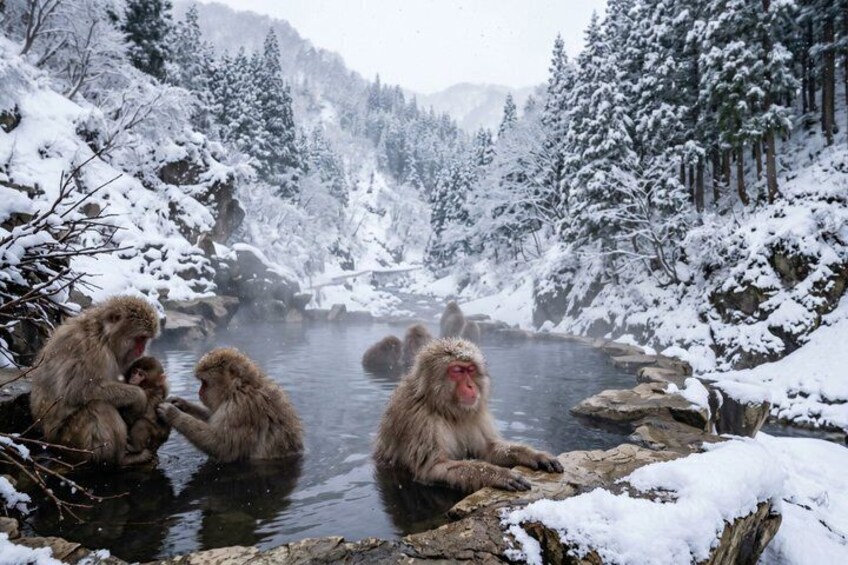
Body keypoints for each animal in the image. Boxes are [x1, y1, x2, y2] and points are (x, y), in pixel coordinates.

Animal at [29, 296, 160, 466]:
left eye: (145, 339)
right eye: (141, 338)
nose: (141, 349)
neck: (103, 335)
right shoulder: (91, 350)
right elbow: (77, 390)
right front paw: (139, 397)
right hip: (70, 440)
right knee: (98, 405)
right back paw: (121, 459)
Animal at [157, 347, 303, 462]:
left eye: (204, 383)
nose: (199, 392)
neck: (239, 387)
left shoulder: (240, 409)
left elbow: (223, 447)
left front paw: (173, 414)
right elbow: (213, 416)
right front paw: (181, 403)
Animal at [374, 338, 563, 493]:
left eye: (470, 370)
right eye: (457, 370)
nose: (471, 386)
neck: (444, 409)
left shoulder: (474, 416)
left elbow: (488, 448)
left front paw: (534, 455)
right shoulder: (419, 421)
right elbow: (433, 468)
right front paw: (498, 475)